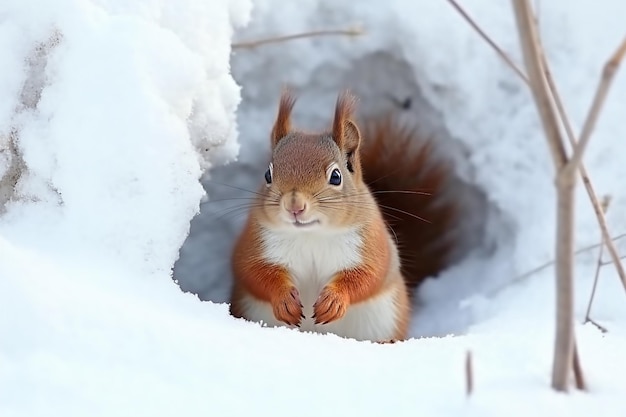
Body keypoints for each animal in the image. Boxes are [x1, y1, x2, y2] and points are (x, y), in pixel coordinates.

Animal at [227, 90, 456, 342]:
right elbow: (253, 272)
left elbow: (368, 275)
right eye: (267, 175)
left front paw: (334, 301)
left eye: (336, 176)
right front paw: (284, 300)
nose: (294, 205)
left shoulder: (371, 243)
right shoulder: (254, 243)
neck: (311, 235)